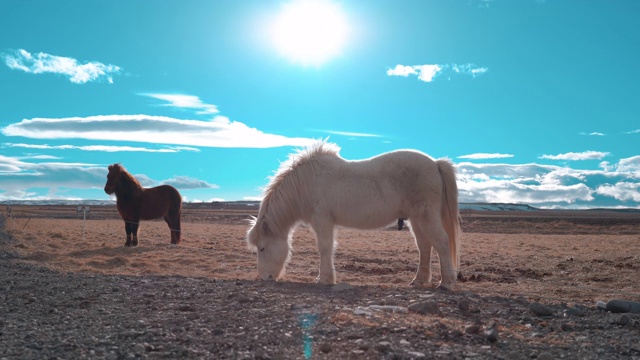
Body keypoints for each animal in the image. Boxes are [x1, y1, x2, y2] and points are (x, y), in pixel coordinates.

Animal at [245, 141, 460, 290]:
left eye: (262, 248)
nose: (264, 278)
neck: (308, 183)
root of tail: (435, 163)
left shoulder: (322, 221)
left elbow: (325, 248)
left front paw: (324, 280)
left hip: (426, 216)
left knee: (441, 242)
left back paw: (446, 283)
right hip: (416, 219)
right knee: (424, 246)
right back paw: (419, 280)